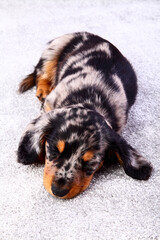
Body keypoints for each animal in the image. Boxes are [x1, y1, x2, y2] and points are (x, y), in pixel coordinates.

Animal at [17, 31, 152, 199]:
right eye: (54, 151)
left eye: (90, 163)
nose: (58, 191)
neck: (89, 99)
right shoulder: (49, 105)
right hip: (52, 51)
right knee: (41, 73)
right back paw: (43, 88)